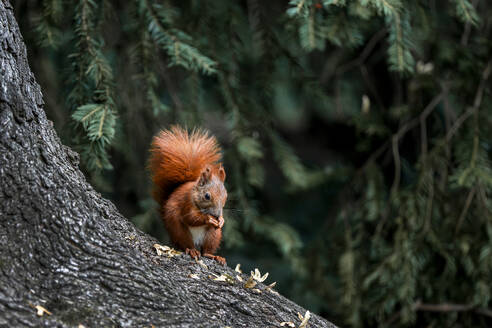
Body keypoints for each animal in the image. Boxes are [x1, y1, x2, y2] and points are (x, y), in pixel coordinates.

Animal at [149, 124, 228, 266]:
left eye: (226, 196)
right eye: (207, 196)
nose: (216, 215)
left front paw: (221, 220)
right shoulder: (186, 202)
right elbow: (190, 217)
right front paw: (209, 219)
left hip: (213, 236)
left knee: (206, 251)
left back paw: (214, 256)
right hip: (180, 231)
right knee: (187, 244)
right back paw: (192, 250)